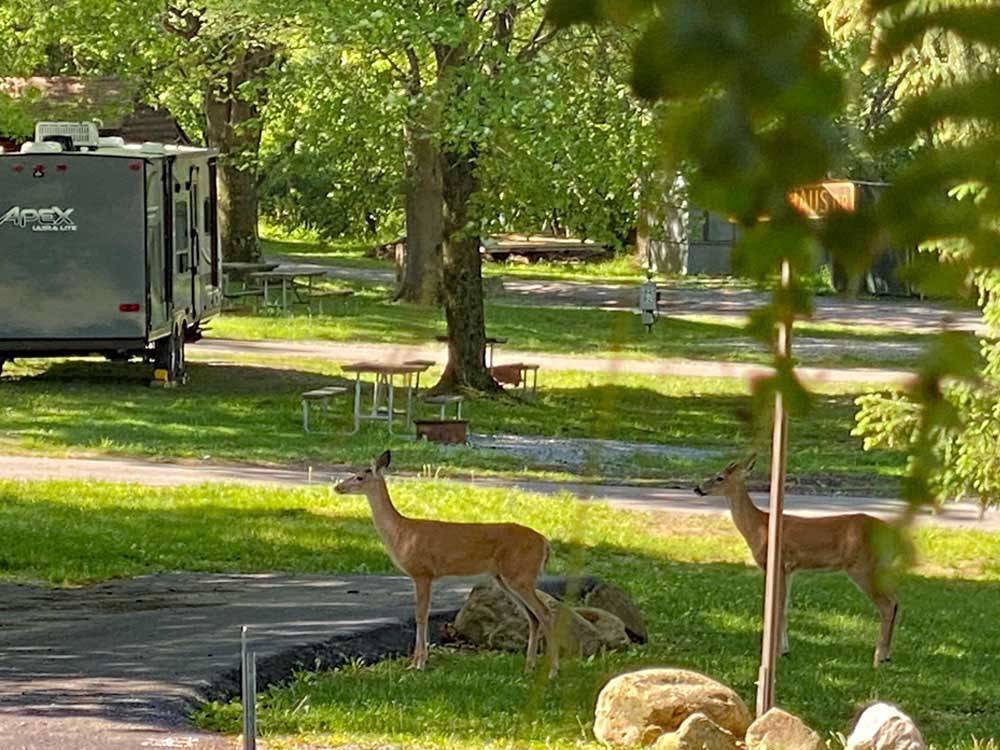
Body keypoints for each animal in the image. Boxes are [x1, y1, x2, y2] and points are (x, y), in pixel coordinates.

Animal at [332, 452, 560, 680]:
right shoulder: (425, 575)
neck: (401, 533)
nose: (337, 487)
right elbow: (422, 613)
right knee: (533, 617)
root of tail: (545, 543)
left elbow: (420, 614)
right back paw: (529, 668)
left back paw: (552, 672)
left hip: (520, 574)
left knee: (545, 613)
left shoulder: (422, 572)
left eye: (360, 477)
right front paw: (416, 663)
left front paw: (418, 664)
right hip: (506, 578)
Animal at [692, 456, 912, 668]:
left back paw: (878, 658)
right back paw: (888, 655)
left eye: (719, 477)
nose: (697, 488)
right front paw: (785, 650)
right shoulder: (790, 569)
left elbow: (777, 607)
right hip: (880, 567)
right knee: (895, 601)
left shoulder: (778, 564)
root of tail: (893, 535)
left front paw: (775, 653)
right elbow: (785, 607)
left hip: (861, 566)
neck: (759, 527)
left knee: (887, 605)